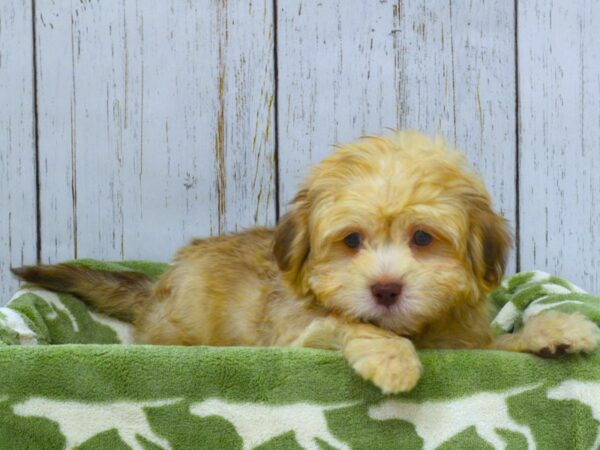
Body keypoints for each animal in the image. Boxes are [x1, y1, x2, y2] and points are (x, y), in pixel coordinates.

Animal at [11, 132, 596, 392]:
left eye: (423, 238)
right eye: (352, 240)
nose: (386, 289)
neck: (418, 330)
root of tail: (156, 288)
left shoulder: (467, 347)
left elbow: (499, 343)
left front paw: (555, 329)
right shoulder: (299, 335)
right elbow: (349, 323)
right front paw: (393, 358)